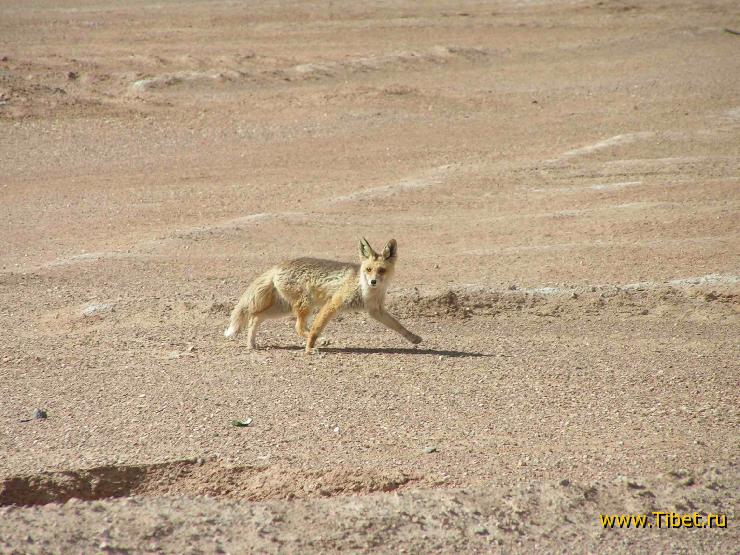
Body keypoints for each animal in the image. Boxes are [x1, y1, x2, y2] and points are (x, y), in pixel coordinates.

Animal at [224, 238, 422, 353]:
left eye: (381, 270)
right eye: (368, 269)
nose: (373, 281)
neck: (366, 291)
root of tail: (278, 266)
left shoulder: (375, 310)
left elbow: (397, 326)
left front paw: (413, 338)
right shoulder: (333, 303)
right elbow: (316, 328)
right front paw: (310, 348)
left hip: (282, 309)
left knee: (255, 317)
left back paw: (251, 344)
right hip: (305, 306)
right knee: (298, 328)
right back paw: (319, 342)